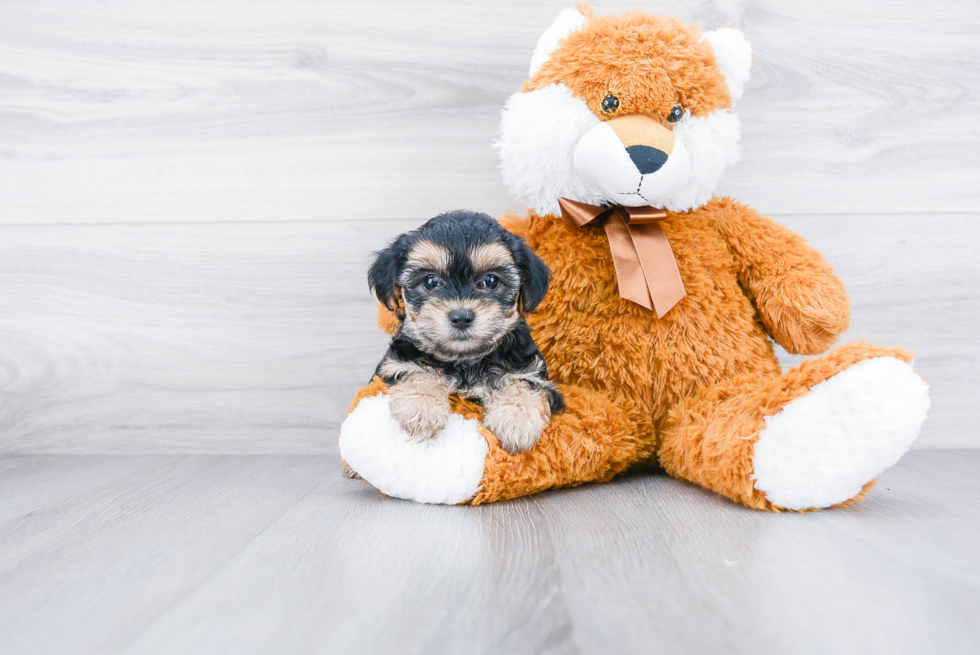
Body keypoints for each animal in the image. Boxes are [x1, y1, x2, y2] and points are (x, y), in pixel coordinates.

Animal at [368, 211, 568, 456]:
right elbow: (417, 371)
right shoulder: (393, 365)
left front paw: (517, 418)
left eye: (491, 280)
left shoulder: (533, 374)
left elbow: (522, 384)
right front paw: (422, 405)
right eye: (430, 281)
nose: (461, 317)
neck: (466, 361)